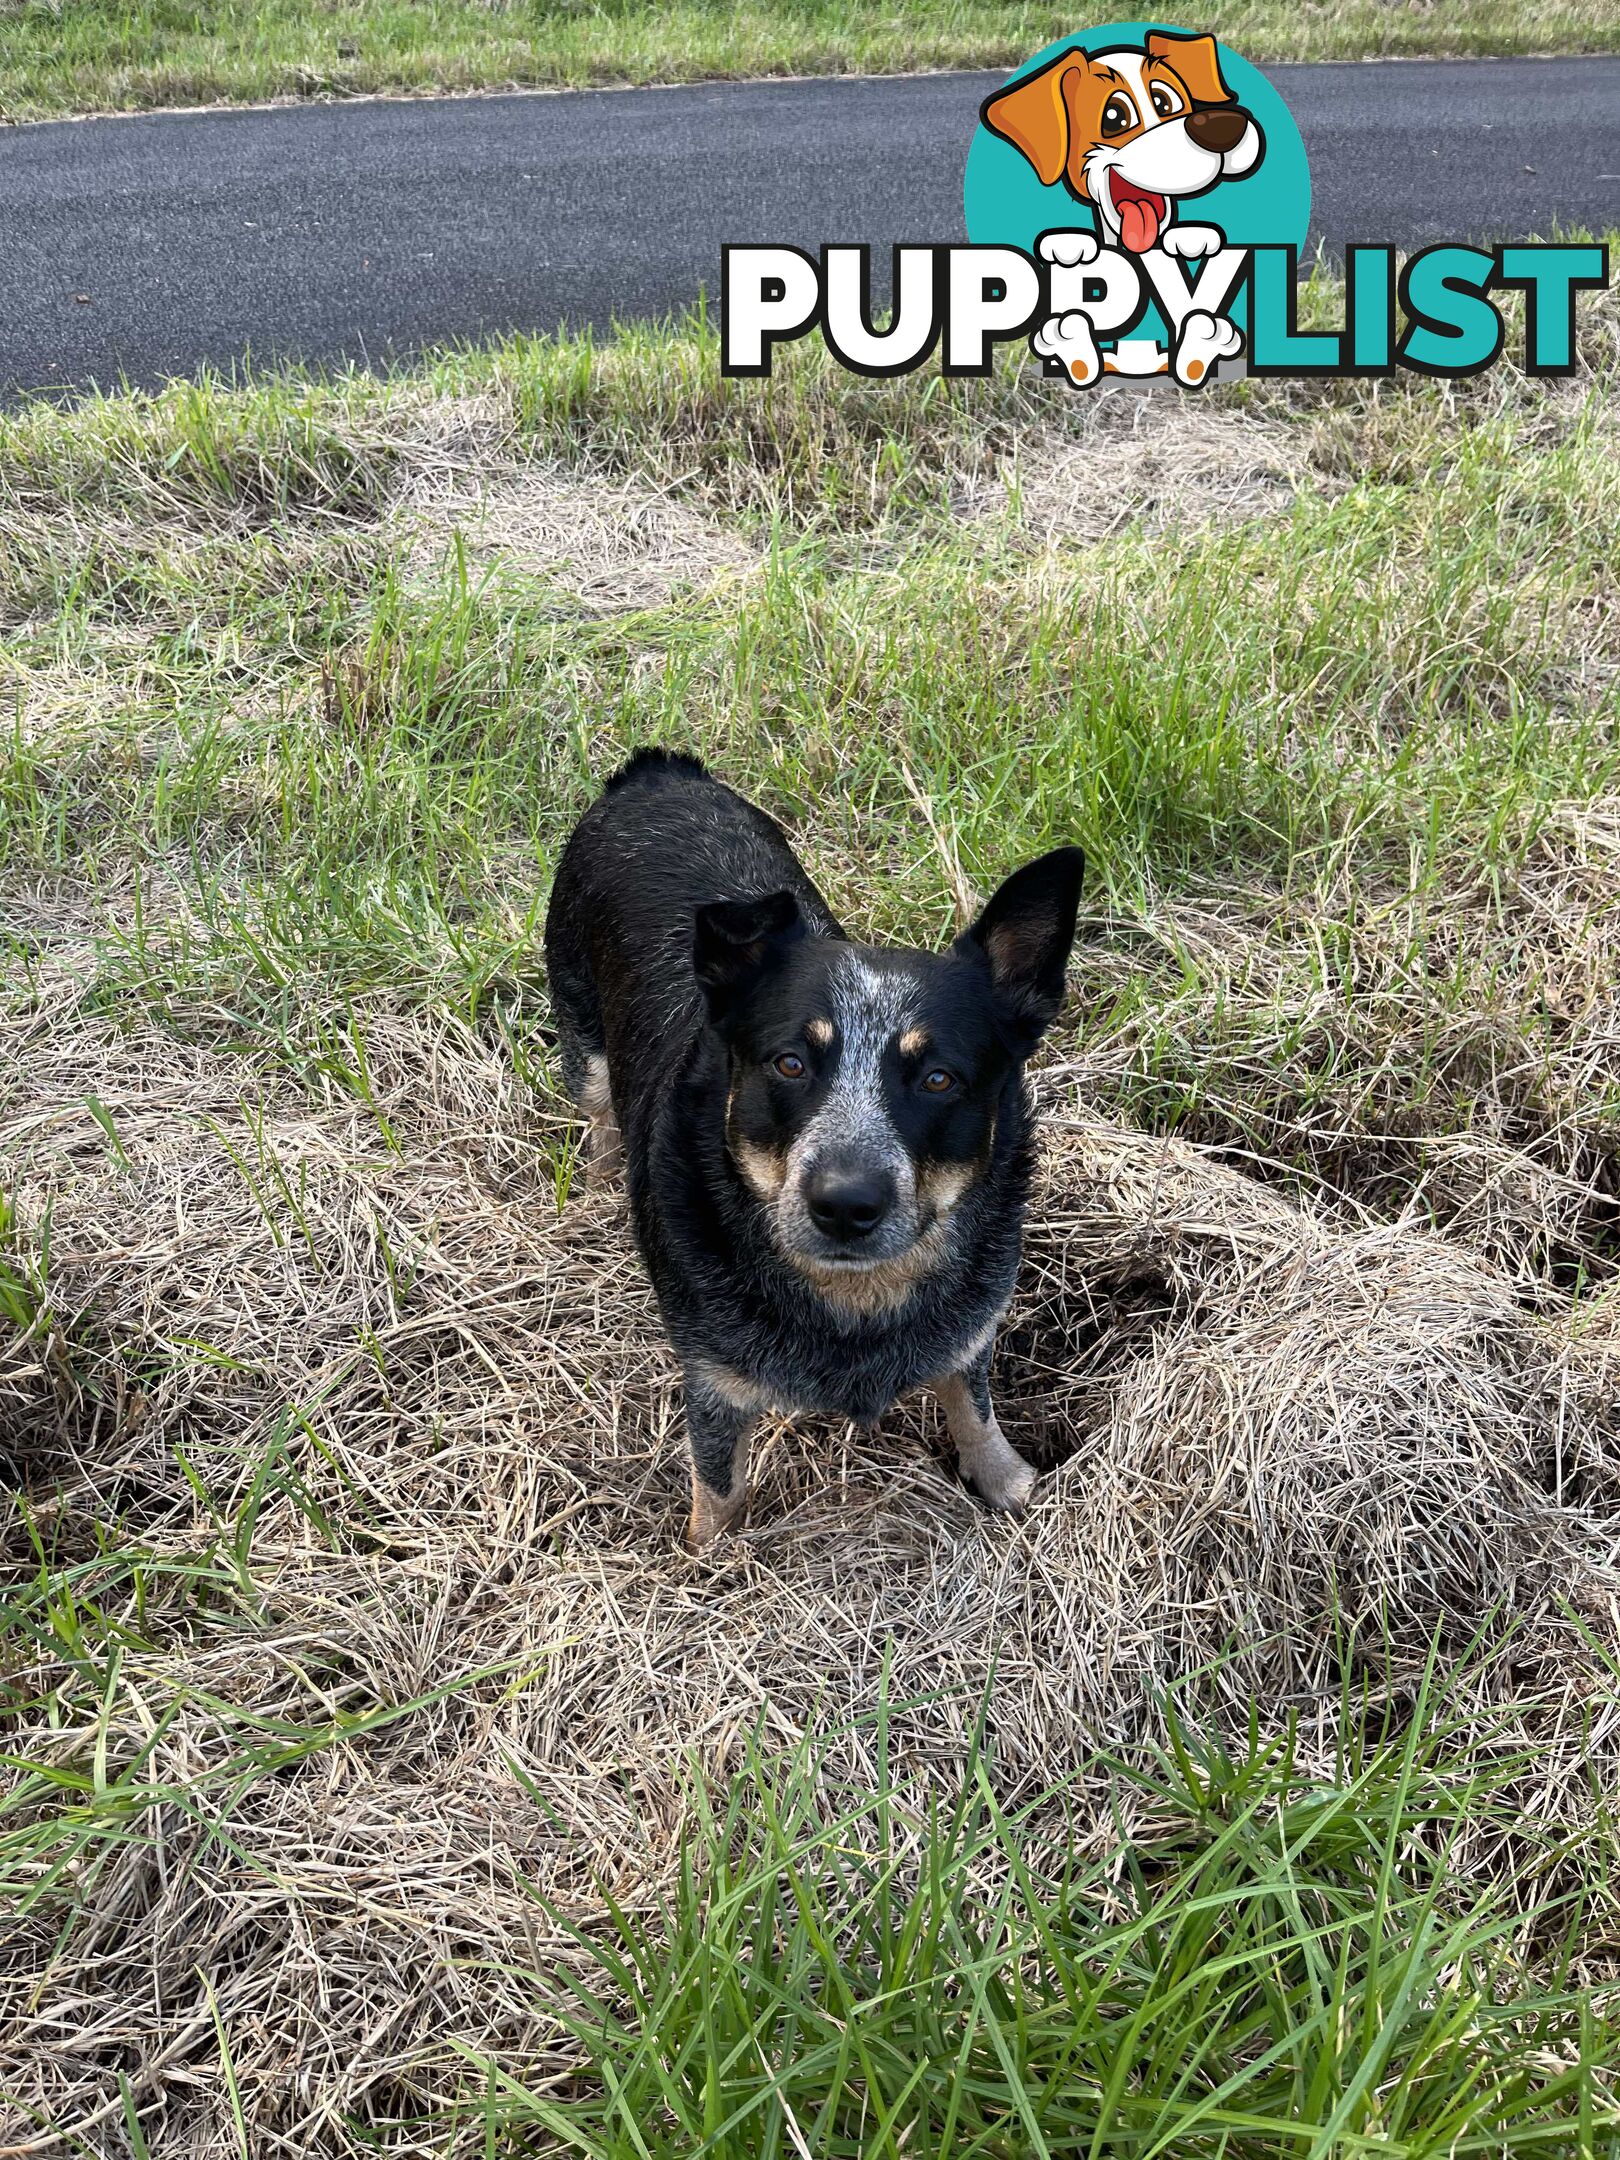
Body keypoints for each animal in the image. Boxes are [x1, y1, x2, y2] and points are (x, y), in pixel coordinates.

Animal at [548, 756, 1092, 1555]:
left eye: (939, 1078)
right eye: (790, 1064)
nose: (845, 1202)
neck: (854, 1301)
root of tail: (655, 772)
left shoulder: (969, 1327)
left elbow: (973, 1402)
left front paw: (1009, 1482)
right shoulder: (714, 1379)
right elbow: (719, 1486)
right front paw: (707, 1557)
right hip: (581, 1036)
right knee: (598, 1116)